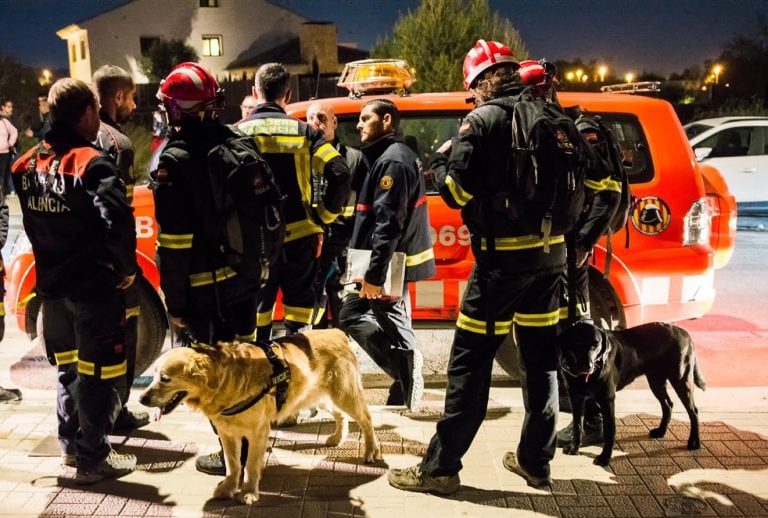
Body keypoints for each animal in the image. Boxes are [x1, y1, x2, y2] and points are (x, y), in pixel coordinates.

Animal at [139, 332, 384, 506]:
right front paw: (228, 488)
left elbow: (250, 465)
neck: (224, 381)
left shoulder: (258, 431)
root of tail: (338, 332)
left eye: (165, 378)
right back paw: (337, 438)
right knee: (340, 414)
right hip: (318, 395)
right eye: (153, 375)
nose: (141, 398)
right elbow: (233, 465)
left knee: (366, 418)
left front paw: (248, 492)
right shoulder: (227, 433)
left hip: (345, 394)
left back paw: (371, 450)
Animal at [556, 322, 704, 470]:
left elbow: (609, 431)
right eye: (577, 343)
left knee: (693, 411)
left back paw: (694, 441)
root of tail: (683, 331)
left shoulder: (607, 400)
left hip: (681, 379)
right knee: (668, 404)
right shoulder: (576, 398)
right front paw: (574, 447)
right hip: (656, 381)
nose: (588, 366)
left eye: (596, 344)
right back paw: (661, 431)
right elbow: (577, 425)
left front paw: (605, 457)